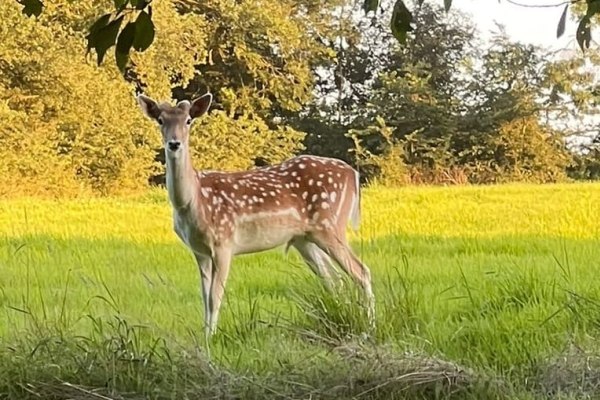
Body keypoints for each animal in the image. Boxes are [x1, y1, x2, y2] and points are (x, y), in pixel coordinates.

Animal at [137, 92, 376, 336]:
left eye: (188, 120)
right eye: (160, 120)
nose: (174, 143)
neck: (192, 202)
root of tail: (353, 174)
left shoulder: (224, 242)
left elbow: (214, 297)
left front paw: (212, 338)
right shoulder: (199, 250)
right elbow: (204, 298)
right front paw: (205, 335)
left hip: (330, 225)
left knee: (361, 271)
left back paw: (369, 328)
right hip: (305, 239)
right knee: (334, 280)